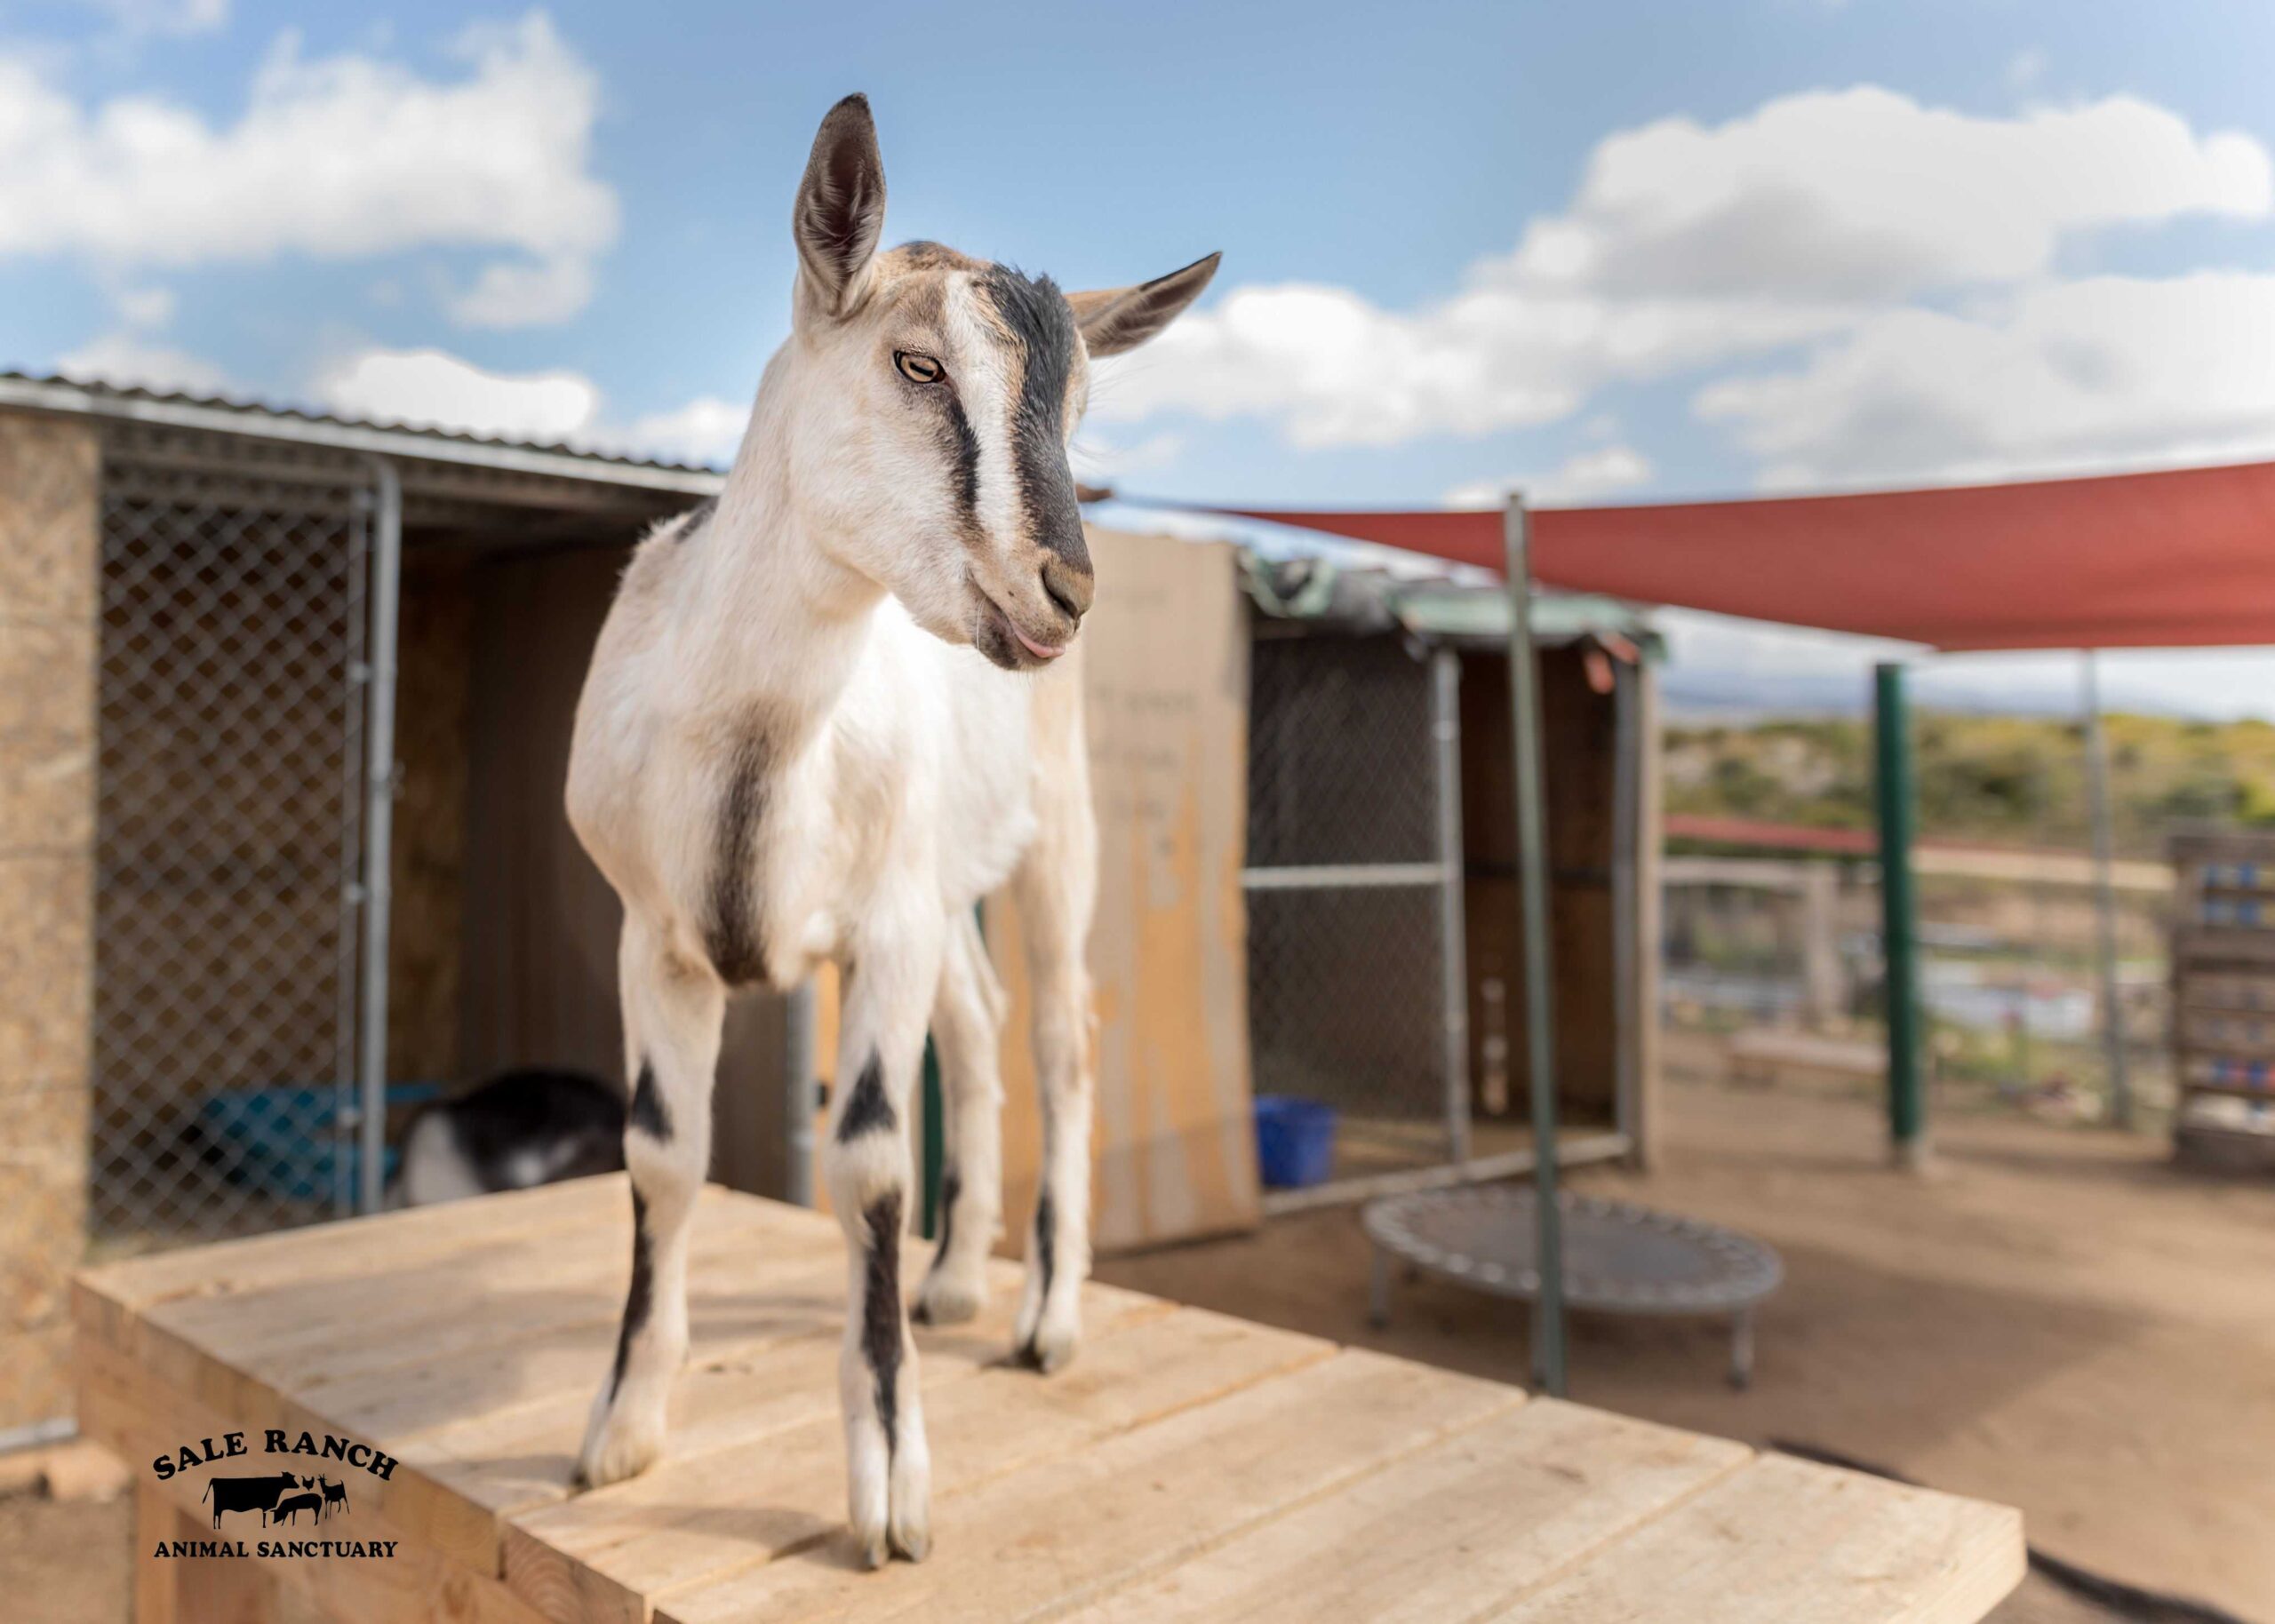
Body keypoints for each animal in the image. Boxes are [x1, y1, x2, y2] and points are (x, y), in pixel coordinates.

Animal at [563, 93, 1215, 1568]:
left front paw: (891, 1495)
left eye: (1079, 410)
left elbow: (865, 1168)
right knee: (977, 1028)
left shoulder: (883, 926)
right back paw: (959, 1285)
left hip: (1056, 834)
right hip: (941, 881)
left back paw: (1044, 1319)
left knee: (1057, 1035)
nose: (1064, 587)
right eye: (917, 363)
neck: (753, 732)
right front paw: (619, 1434)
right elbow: (660, 1155)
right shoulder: (650, 935)